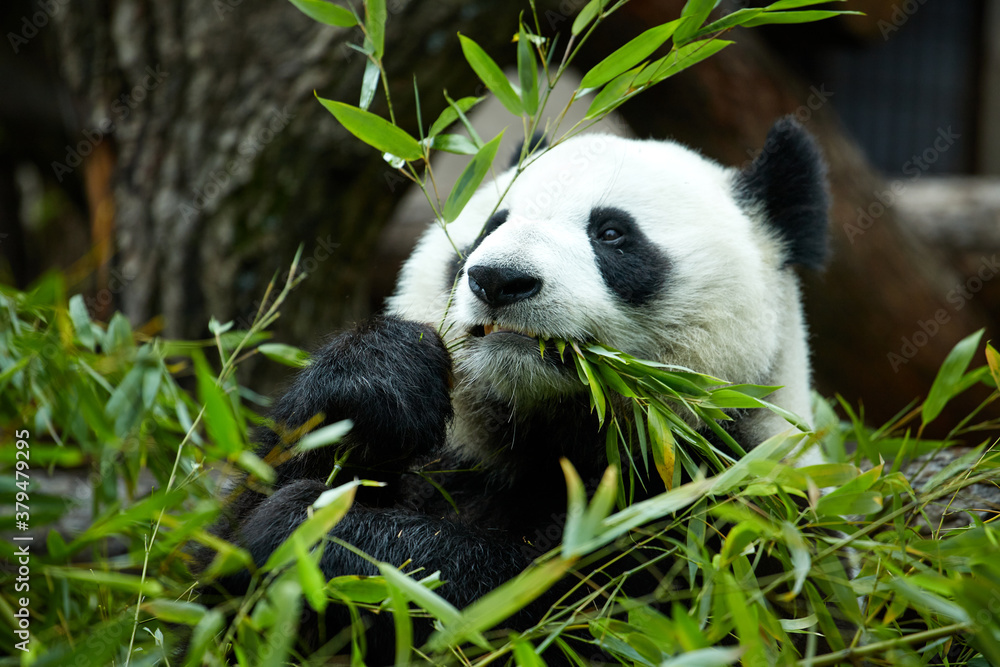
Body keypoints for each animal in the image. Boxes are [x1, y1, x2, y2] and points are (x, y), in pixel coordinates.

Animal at [200, 116, 829, 661]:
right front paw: (379, 382)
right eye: (491, 226)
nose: (499, 279)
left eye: (612, 234)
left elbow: (560, 608)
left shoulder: (734, 520)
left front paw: (315, 534)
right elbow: (212, 582)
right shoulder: (451, 462)